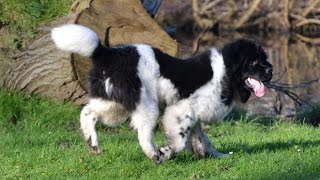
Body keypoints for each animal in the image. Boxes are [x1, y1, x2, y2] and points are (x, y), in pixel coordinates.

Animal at [52, 23, 272, 163]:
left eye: (264, 59)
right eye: (253, 62)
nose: (270, 70)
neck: (225, 72)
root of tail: (108, 53)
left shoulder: (194, 117)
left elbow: (202, 139)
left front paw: (215, 155)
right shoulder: (183, 110)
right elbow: (181, 140)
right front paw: (167, 152)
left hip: (115, 103)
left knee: (87, 112)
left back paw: (92, 143)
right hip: (145, 105)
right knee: (143, 135)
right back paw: (154, 154)